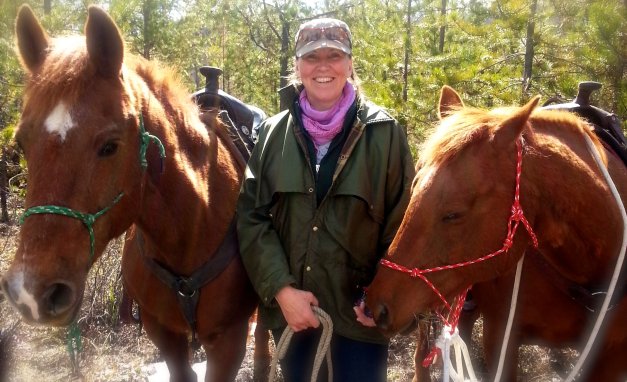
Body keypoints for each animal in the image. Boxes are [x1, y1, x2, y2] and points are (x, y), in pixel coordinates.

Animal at [0, 5, 260, 382]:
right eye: (22, 143)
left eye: (110, 146)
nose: (29, 293)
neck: (193, 228)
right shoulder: (162, 333)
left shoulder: (230, 341)